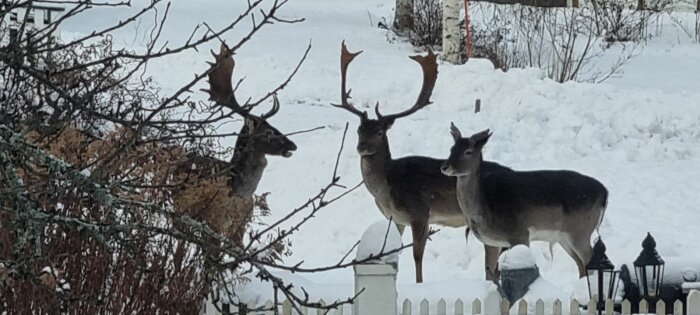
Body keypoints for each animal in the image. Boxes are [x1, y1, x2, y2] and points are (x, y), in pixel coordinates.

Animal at [332, 42, 500, 284]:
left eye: (380, 131)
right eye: (359, 130)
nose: (362, 147)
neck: (386, 190)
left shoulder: (420, 213)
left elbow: (417, 256)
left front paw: (419, 283)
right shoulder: (396, 219)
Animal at [440, 126, 608, 278]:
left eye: (468, 152)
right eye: (451, 149)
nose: (445, 167)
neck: (484, 208)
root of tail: (605, 193)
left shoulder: (520, 233)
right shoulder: (491, 242)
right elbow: (489, 273)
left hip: (581, 230)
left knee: (590, 261)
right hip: (564, 237)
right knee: (581, 266)